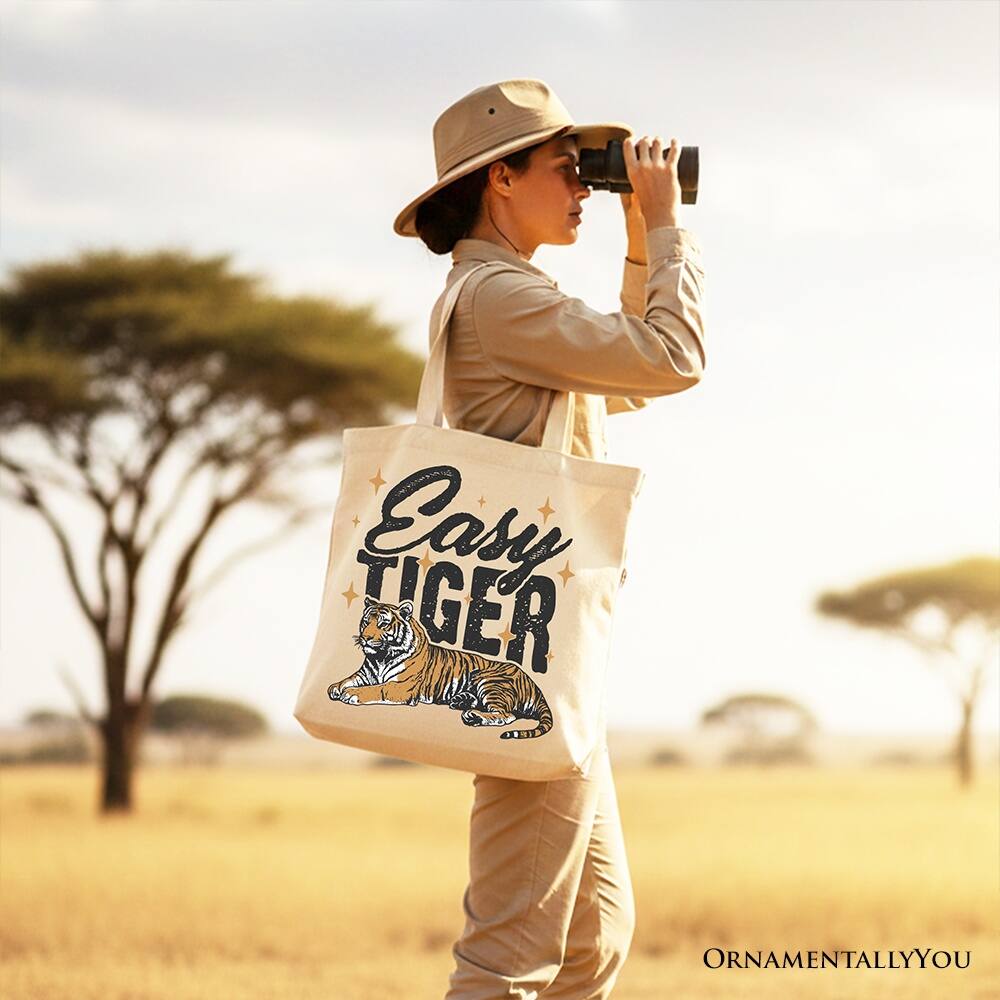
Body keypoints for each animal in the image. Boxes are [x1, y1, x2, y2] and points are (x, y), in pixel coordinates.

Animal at [327, 595, 553, 740]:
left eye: (383, 624)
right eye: (366, 622)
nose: (365, 638)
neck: (381, 658)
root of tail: (533, 684)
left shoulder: (400, 686)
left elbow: (376, 689)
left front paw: (351, 694)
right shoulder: (365, 674)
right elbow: (349, 679)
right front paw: (335, 688)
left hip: (488, 680)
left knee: (507, 715)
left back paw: (472, 716)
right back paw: (460, 701)